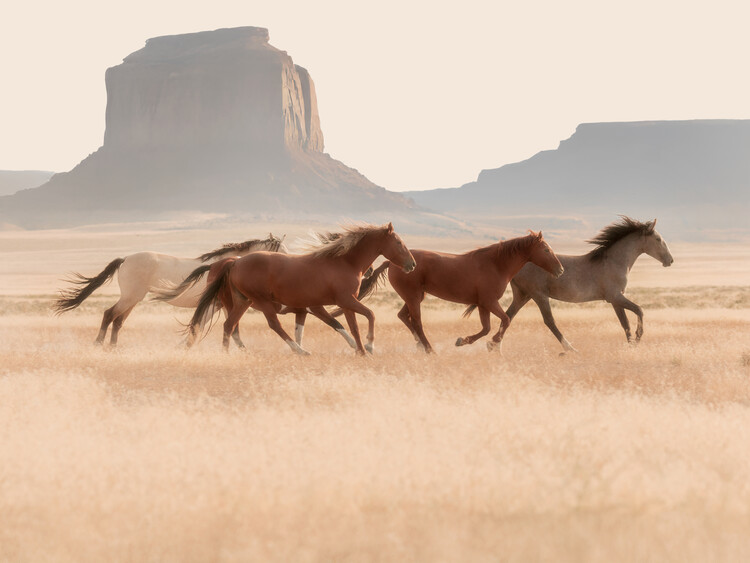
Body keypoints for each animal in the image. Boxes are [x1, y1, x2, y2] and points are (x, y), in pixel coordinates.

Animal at [53, 234, 287, 347]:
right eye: (281, 252)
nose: (288, 268)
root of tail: (125, 258)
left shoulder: (218, 305)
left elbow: (207, 325)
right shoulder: (216, 304)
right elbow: (203, 326)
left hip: (133, 299)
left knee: (118, 320)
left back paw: (112, 347)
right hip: (130, 297)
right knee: (109, 314)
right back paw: (99, 344)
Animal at [185, 223, 416, 355]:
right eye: (398, 242)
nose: (412, 264)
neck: (343, 262)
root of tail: (235, 262)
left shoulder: (340, 304)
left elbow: (348, 326)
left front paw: (359, 350)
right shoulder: (343, 301)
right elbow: (368, 316)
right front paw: (368, 347)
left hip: (242, 301)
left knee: (229, 325)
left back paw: (227, 354)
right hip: (261, 301)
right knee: (273, 325)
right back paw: (299, 351)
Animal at [353, 231, 563, 354]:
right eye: (546, 250)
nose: (560, 270)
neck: (496, 265)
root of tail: (393, 262)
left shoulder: (482, 304)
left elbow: (486, 328)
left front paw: (463, 341)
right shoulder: (489, 302)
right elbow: (505, 320)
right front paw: (492, 343)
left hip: (415, 296)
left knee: (403, 316)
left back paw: (420, 345)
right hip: (413, 297)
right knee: (416, 322)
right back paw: (429, 349)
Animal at [472, 217, 673, 352]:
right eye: (658, 239)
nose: (670, 260)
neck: (614, 261)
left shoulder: (615, 301)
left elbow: (625, 323)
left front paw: (631, 345)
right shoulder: (615, 297)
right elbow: (639, 310)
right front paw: (638, 339)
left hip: (523, 295)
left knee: (508, 316)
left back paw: (494, 347)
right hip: (538, 295)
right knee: (549, 321)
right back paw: (570, 349)